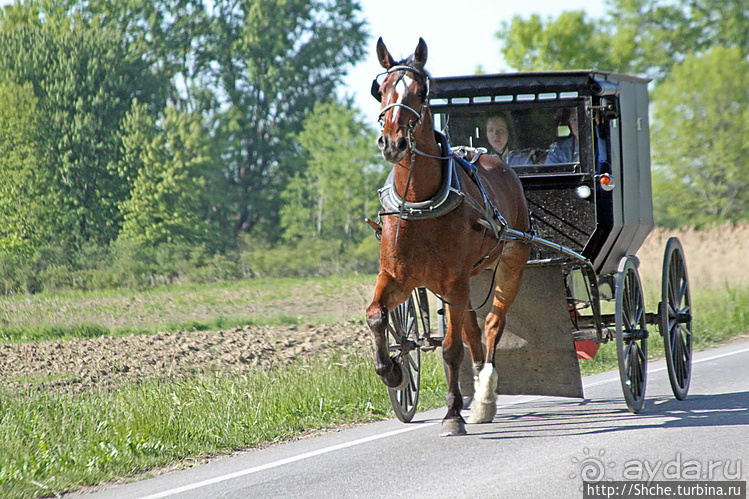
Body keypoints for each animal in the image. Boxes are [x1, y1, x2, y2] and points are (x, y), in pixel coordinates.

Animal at [364, 38, 528, 438]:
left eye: (421, 92)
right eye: (381, 89)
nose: (392, 142)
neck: (419, 202)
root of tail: (495, 160)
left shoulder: (452, 280)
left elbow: (452, 348)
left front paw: (453, 413)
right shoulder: (397, 277)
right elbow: (376, 315)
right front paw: (392, 371)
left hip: (511, 261)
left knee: (491, 324)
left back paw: (484, 394)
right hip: (466, 280)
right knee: (472, 328)